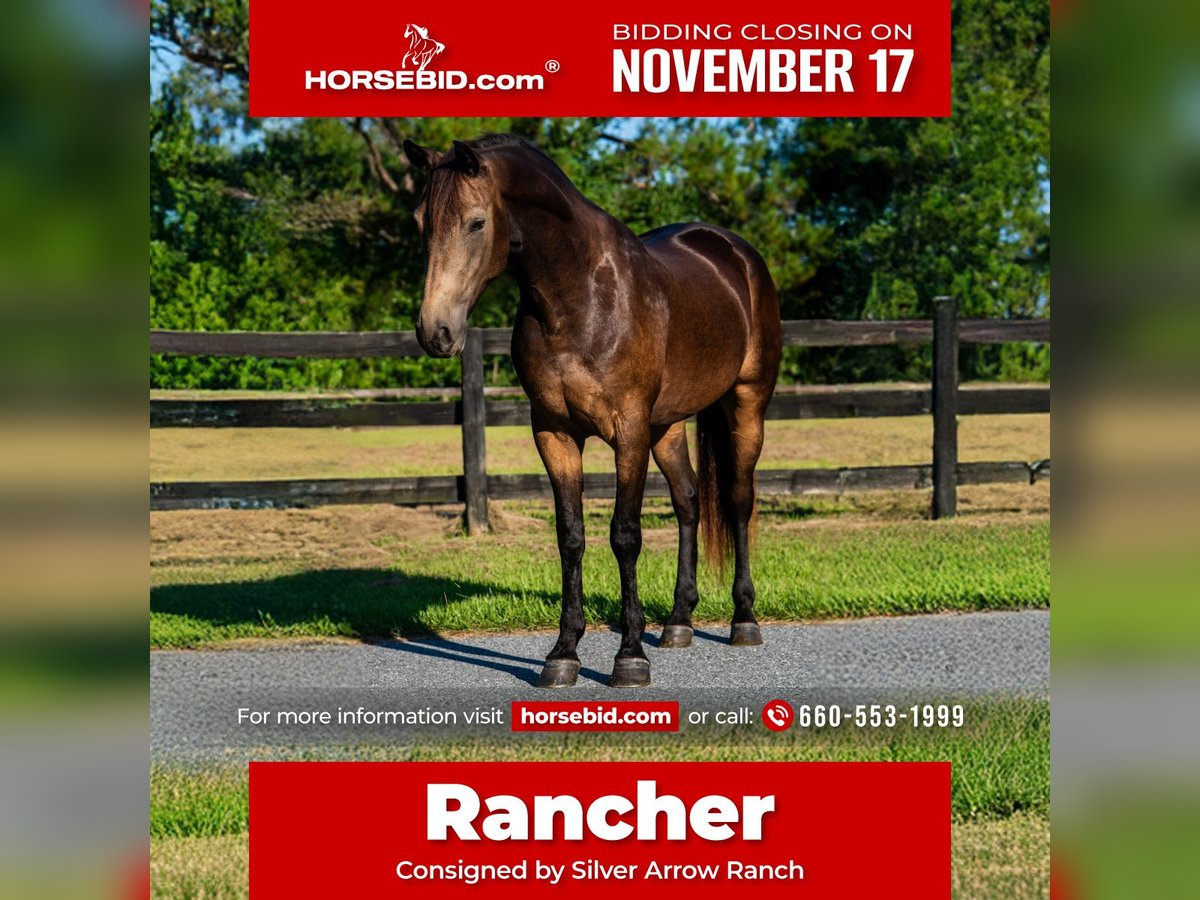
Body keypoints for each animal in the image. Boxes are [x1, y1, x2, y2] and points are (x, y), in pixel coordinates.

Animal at [403, 135, 781, 688]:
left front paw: (629, 656)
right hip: (667, 426)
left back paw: (744, 620)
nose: (436, 332)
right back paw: (678, 622)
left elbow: (625, 535)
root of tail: (737, 254)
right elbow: (571, 537)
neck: (578, 298)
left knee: (737, 499)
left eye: (476, 222)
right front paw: (563, 653)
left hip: (746, 404)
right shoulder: (554, 433)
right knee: (689, 502)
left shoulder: (628, 431)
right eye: (419, 222)